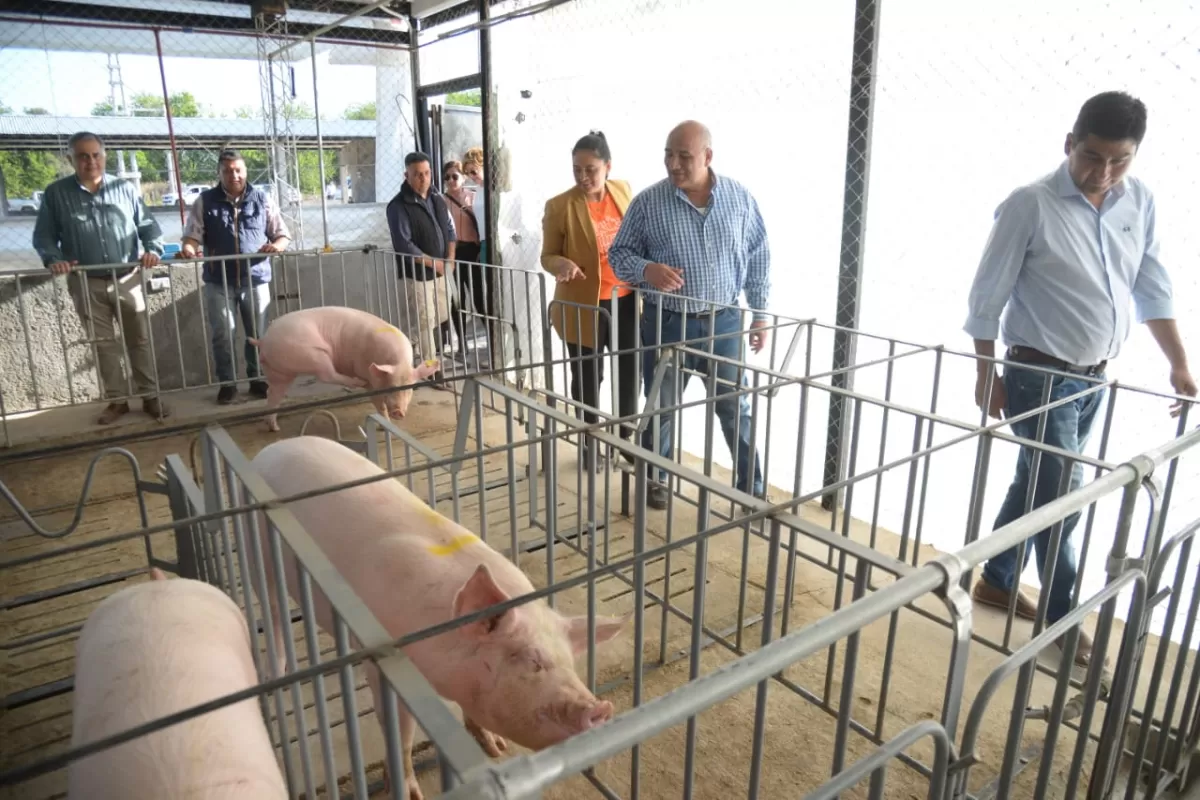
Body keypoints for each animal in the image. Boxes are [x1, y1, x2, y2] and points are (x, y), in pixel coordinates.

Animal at [248, 307, 441, 431]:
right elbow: (377, 401)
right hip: (314, 355)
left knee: (273, 393)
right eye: (391, 387)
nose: (399, 412)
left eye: (410, 389)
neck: (397, 362)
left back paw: (274, 428)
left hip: (279, 370)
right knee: (327, 375)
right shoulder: (366, 371)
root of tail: (264, 340)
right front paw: (386, 424)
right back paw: (356, 382)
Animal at [252, 438, 628, 800]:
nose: (602, 708)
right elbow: (401, 733)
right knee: (272, 610)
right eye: (532, 661)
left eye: (571, 664)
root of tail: (273, 448)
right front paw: (409, 793)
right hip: (262, 559)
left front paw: (496, 748)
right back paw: (276, 670)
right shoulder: (382, 666)